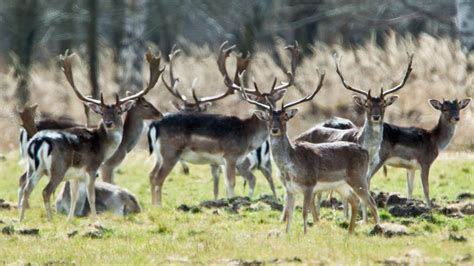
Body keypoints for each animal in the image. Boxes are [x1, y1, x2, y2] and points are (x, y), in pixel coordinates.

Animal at [18, 50, 165, 222]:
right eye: (102, 112)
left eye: (118, 111)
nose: (108, 123)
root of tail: (39, 141)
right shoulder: (95, 166)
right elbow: (92, 195)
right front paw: (95, 221)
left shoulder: (77, 174)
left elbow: (75, 195)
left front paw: (70, 219)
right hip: (57, 167)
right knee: (45, 191)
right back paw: (49, 219)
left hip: (35, 167)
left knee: (27, 188)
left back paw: (21, 219)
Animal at [146, 41, 298, 206]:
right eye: (258, 101)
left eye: (273, 100)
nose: (269, 111)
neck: (247, 136)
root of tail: (156, 125)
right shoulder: (230, 156)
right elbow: (230, 184)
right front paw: (231, 202)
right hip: (171, 152)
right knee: (158, 177)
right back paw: (158, 206)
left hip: (159, 154)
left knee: (152, 175)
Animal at [239, 71, 380, 234]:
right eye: (268, 118)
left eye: (284, 117)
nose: (275, 130)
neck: (291, 168)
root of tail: (366, 152)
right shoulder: (290, 190)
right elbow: (290, 214)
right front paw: (287, 233)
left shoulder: (309, 184)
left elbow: (304, 212)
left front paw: (305, 233)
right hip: (341, 185)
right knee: (355, 200)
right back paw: (350, 232)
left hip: (359, 178)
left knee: (371, 202)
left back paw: (377, 228)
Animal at [294, 53, 412, 221]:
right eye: (367, 104)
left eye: (383, 104)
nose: (376, 116)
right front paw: (354, 218)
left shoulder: (369, 169)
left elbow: (365, 194)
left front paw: (365, 219)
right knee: (316, 193)